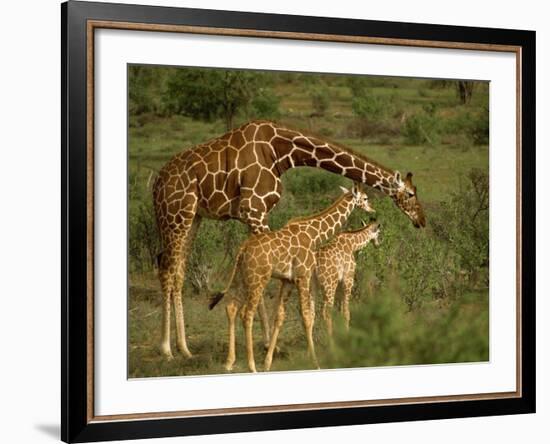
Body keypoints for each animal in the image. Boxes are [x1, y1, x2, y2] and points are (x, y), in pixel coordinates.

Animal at [209, 183, 378, 372]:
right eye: (365, 198)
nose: (372, 209)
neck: (313, 234)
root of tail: (242, 249)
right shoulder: (302, 276)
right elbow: (307, 316)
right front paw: (315, 362)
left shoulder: (287, 280)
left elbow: (280, 317)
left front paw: (268, 363)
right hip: (258, 279)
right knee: (247, 314)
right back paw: (251, 366)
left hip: (242, 278)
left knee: (231, 307)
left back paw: (229, 363)